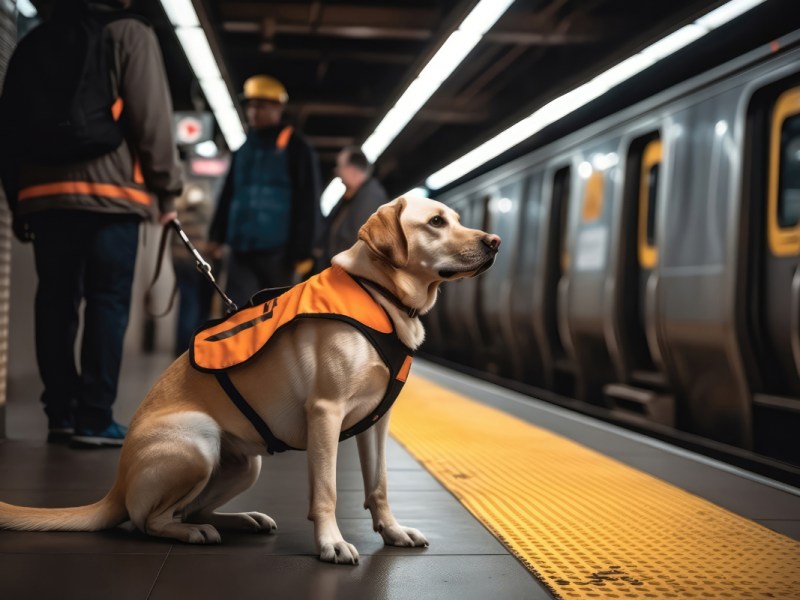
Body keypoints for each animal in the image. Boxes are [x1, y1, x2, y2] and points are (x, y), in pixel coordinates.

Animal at [0, 196, 500, 564]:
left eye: (457, 219)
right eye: (435, 222)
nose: (495, 241)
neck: (378, 293)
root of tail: (117, 487)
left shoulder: (377, 423)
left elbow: (378, 486)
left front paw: (392, 532)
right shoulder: (325, 414)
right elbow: (327, 489)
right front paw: (330, 543)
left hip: (245, 464)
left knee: (191, 506)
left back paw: (242, 519)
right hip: (197, 442)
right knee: (148, 520)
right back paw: (193, 532)